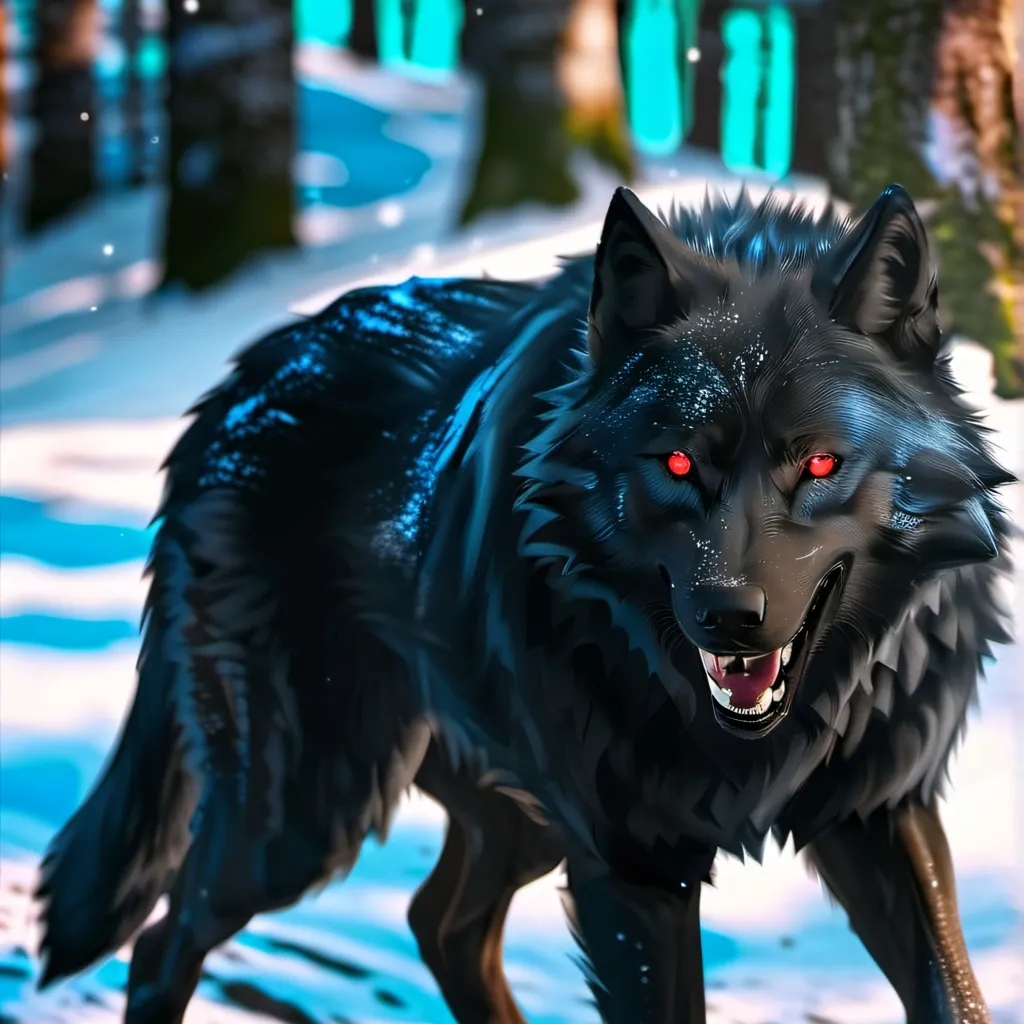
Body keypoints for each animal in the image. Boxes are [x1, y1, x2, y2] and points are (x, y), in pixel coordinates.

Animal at [36, 184, 1013, 1024]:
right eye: (677, 463)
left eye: (818, 463)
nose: (729, 616)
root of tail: (231, 388)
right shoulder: (633, 867)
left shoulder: (877, 809)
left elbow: (955, 994)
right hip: (306, 812)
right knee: (164, 941)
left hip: (515, 814)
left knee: (439, 924)